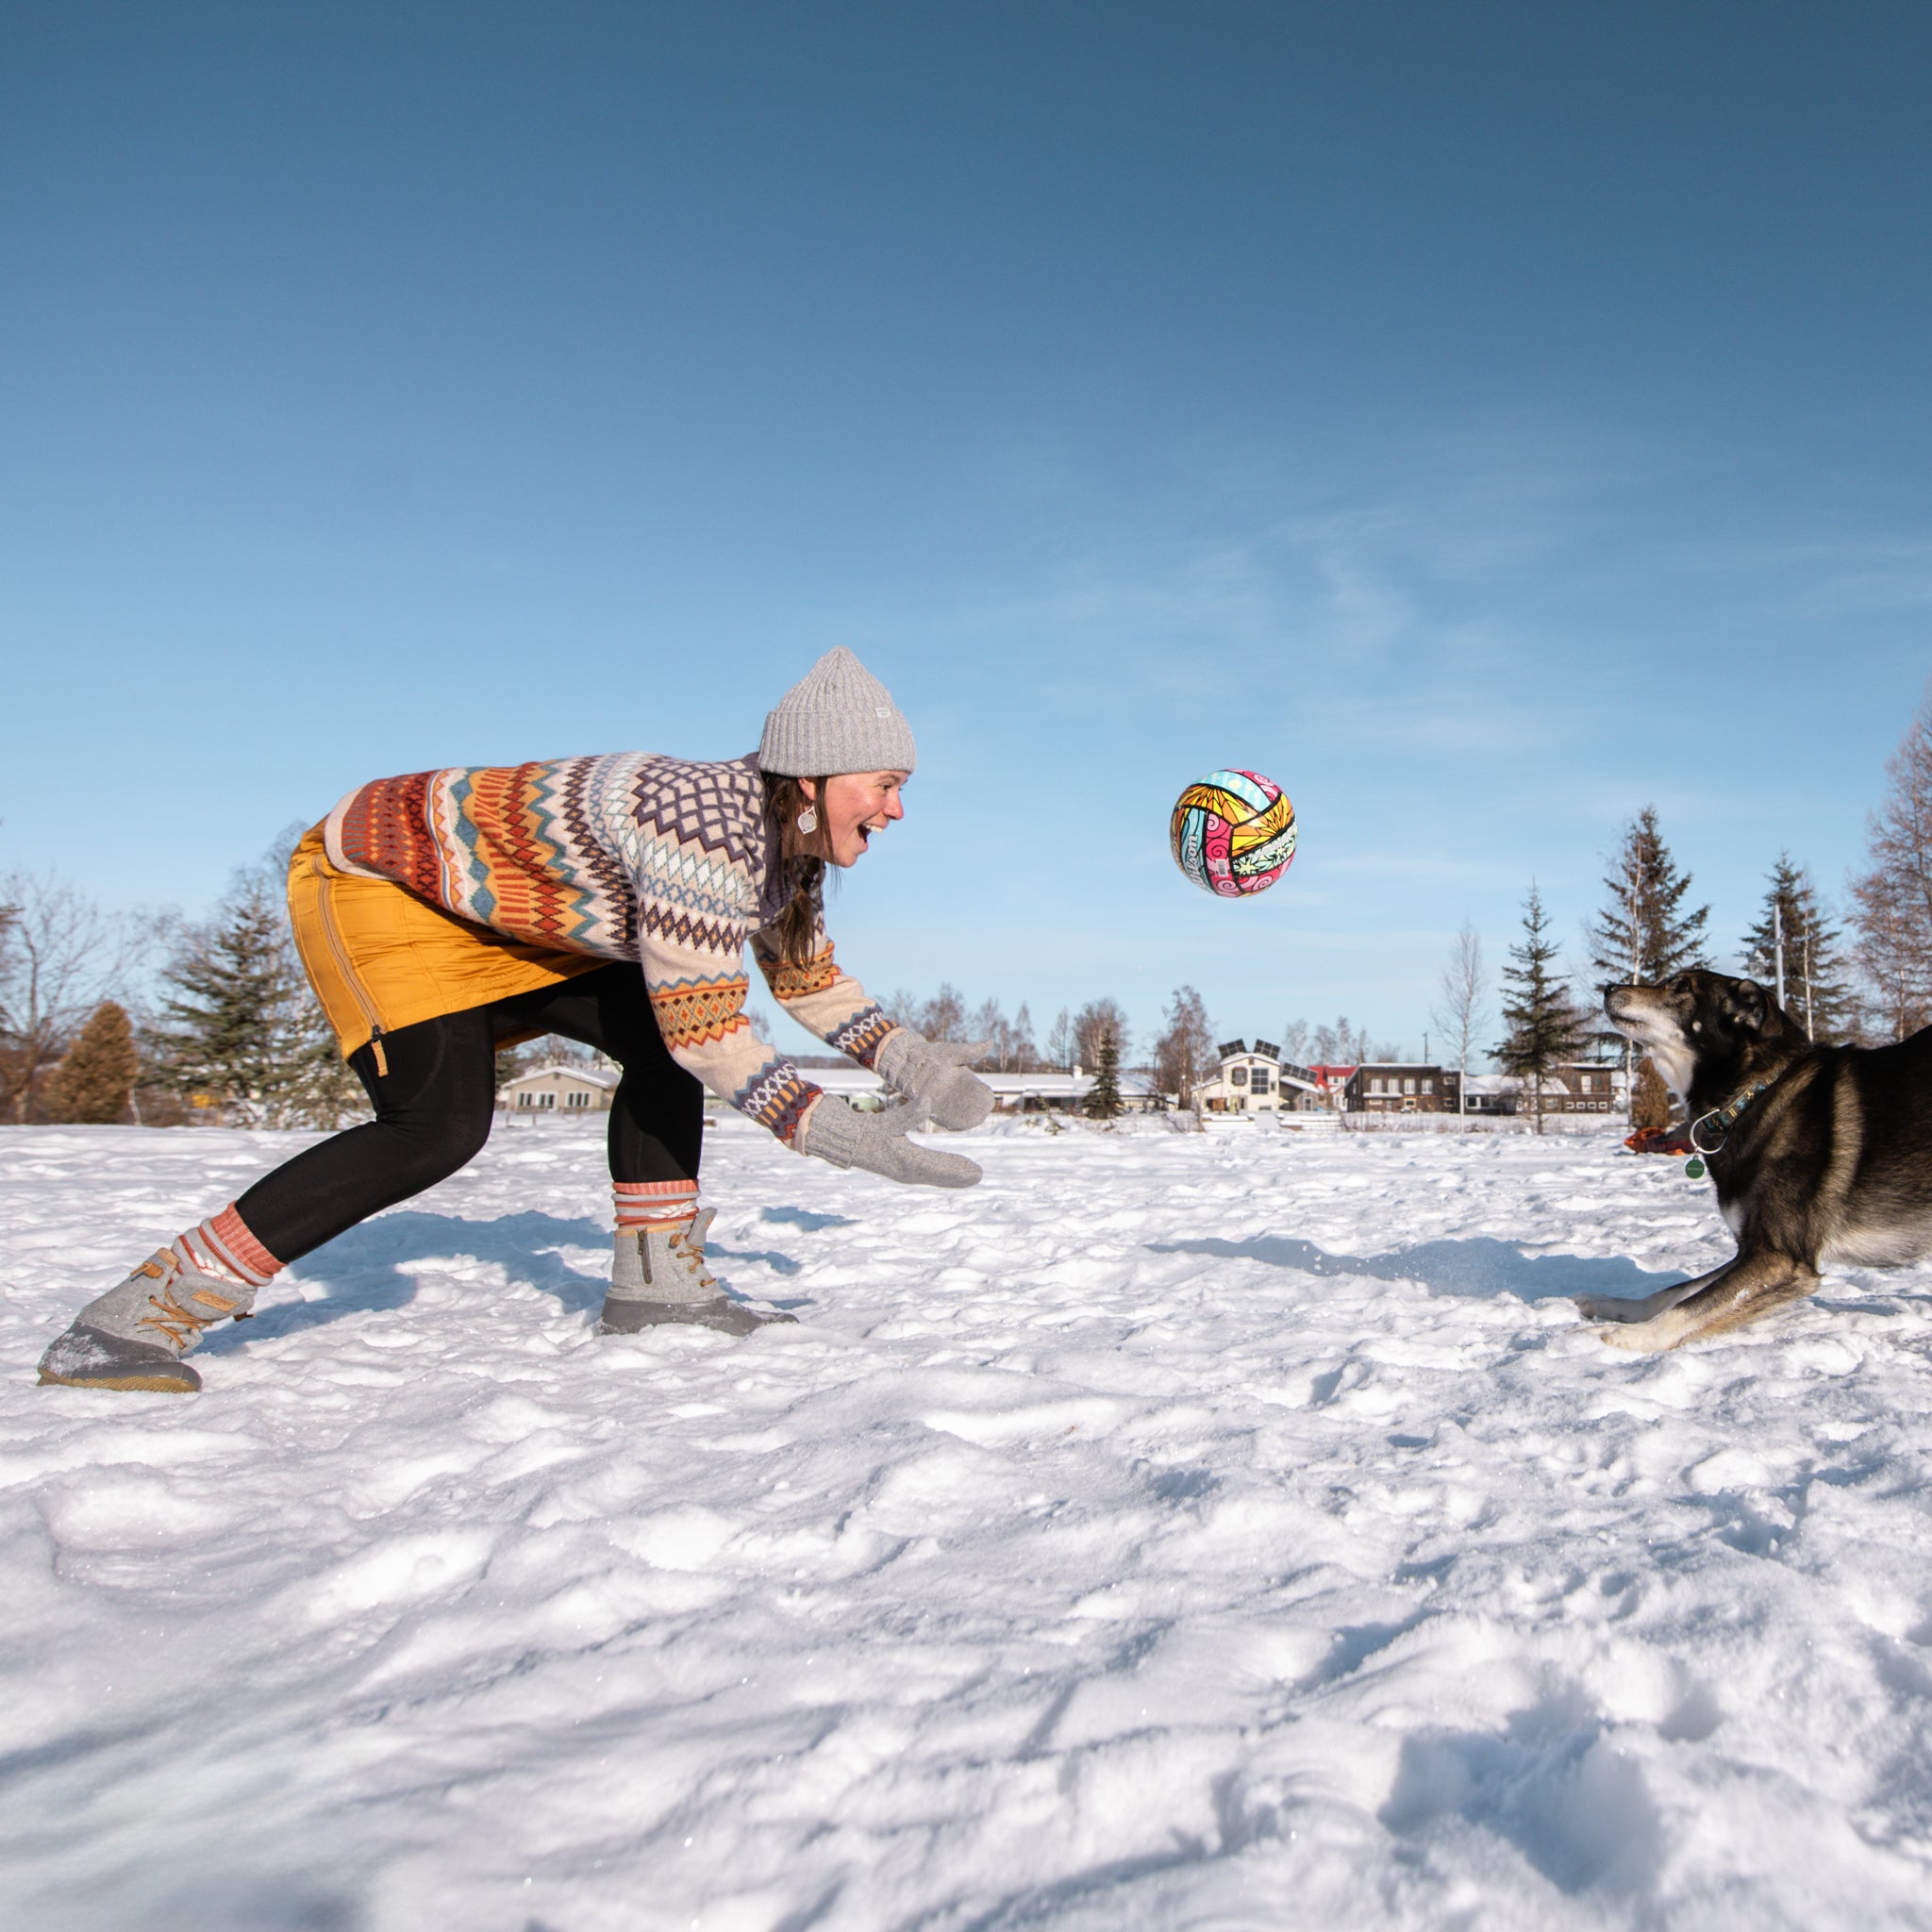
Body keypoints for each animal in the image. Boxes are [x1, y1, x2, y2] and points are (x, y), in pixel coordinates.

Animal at [1584, 974, 1932, 1352]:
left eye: (1682, 987)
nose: (1608, 988)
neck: (1753, 1095)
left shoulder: (1779, 1260)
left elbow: (1690, 1307)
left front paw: (1625, 1337)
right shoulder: (1748, 1250)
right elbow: (1673, 1292)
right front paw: (1615, 1307)